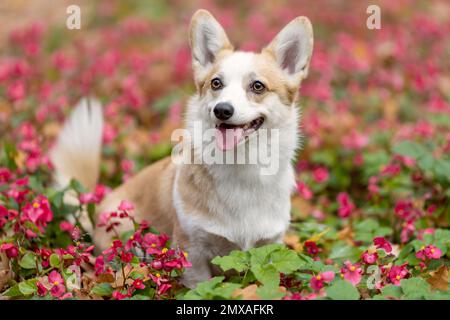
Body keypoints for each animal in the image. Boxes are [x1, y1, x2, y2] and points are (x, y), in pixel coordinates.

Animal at [51, 9, 312, 288]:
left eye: (258, 86)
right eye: (216, 83)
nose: (222, 109)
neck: (240, 165)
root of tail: (94, 210)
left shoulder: (268, 248)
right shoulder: (192, 251)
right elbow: (201, 286)